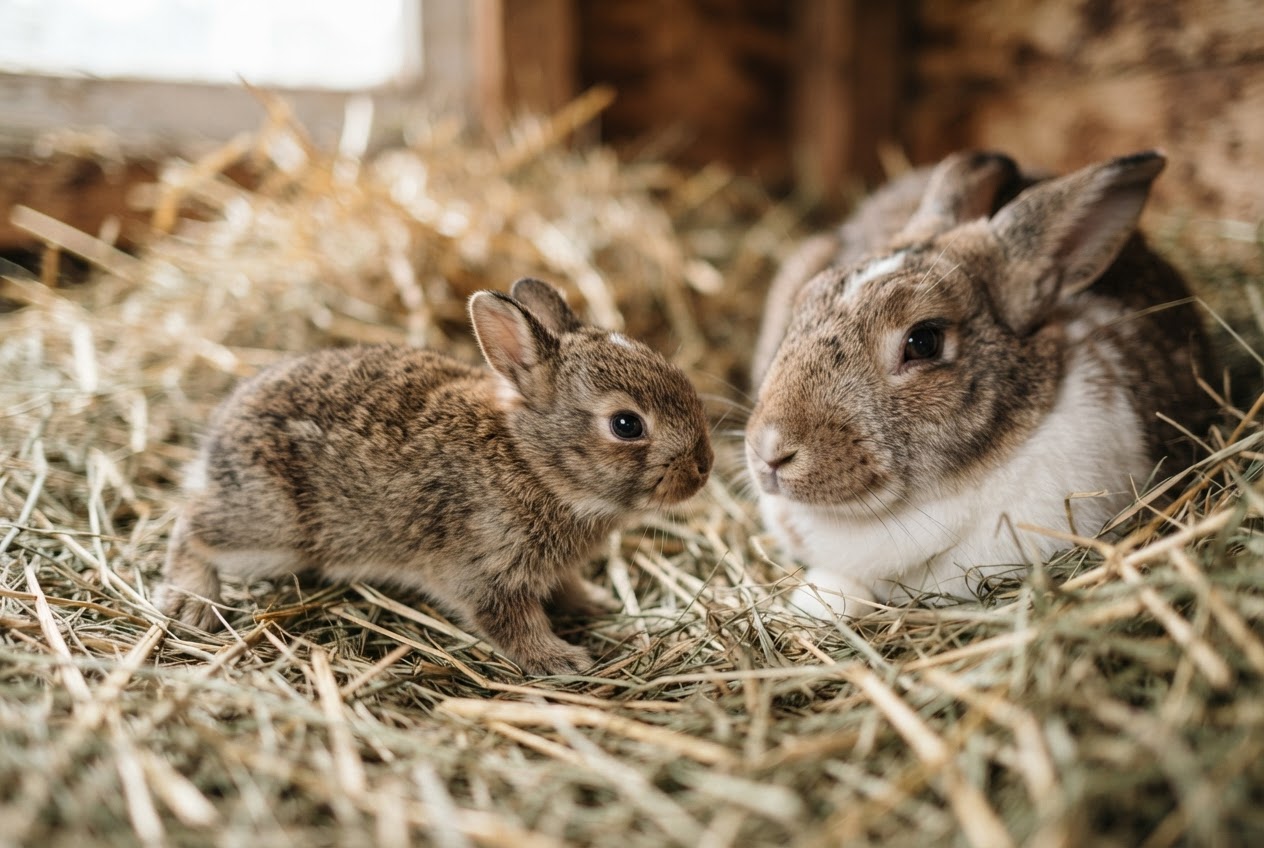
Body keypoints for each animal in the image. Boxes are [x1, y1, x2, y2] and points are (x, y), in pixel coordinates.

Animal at [156, 278, 714, 674]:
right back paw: (190, 602)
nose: (703, 468)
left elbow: (567, 588)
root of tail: (218, 438)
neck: (531, 461)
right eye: (626, 425)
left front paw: (596, 604)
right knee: (192, 523)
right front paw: (561, 659)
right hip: (274, 527)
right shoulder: (485, 573)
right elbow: (511, 623)